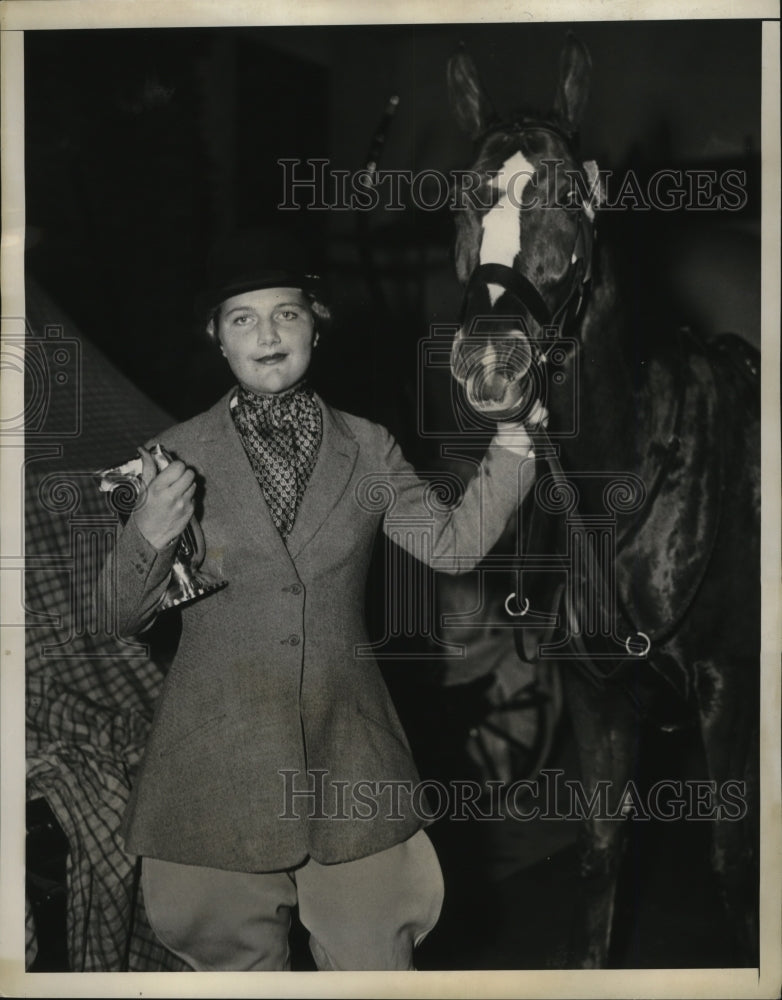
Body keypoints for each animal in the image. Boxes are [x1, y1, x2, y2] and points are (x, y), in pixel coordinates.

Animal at [448, 35, 760, 964]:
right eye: (465, 195)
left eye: (563, 195)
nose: (492, 359)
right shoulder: (597, 694)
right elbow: (600, 855)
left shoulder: (728, 685)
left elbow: (734, 863)